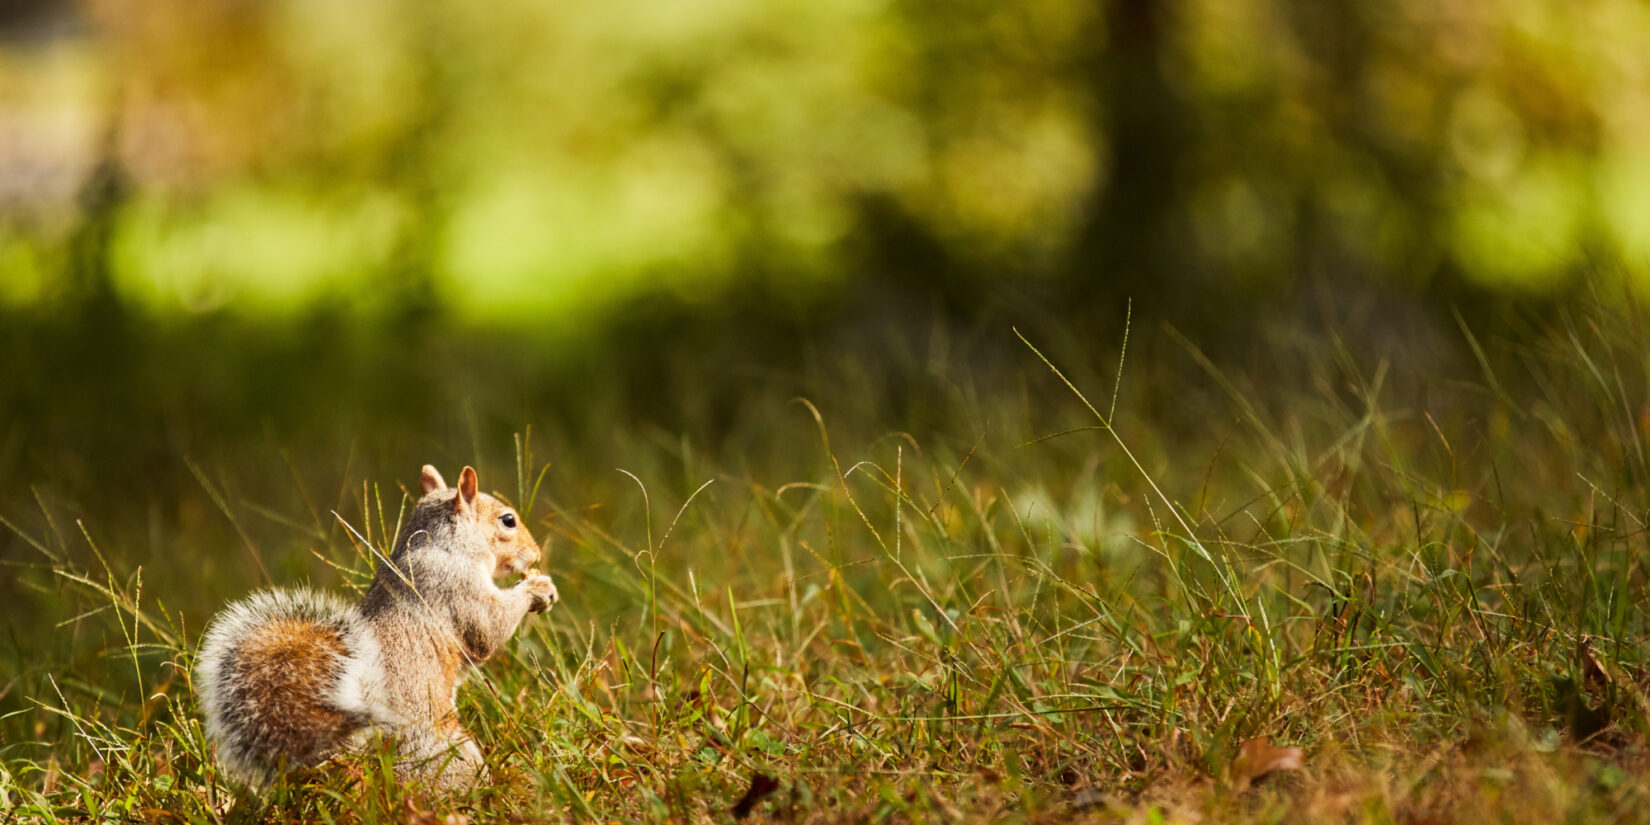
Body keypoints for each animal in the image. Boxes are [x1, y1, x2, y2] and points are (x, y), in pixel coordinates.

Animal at [193, 465, 561, 785]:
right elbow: (488, 628)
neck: (442, 544)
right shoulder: (453, 586)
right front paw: (537, 588)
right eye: (508, 520)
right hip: (441, 753)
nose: (536, 554)